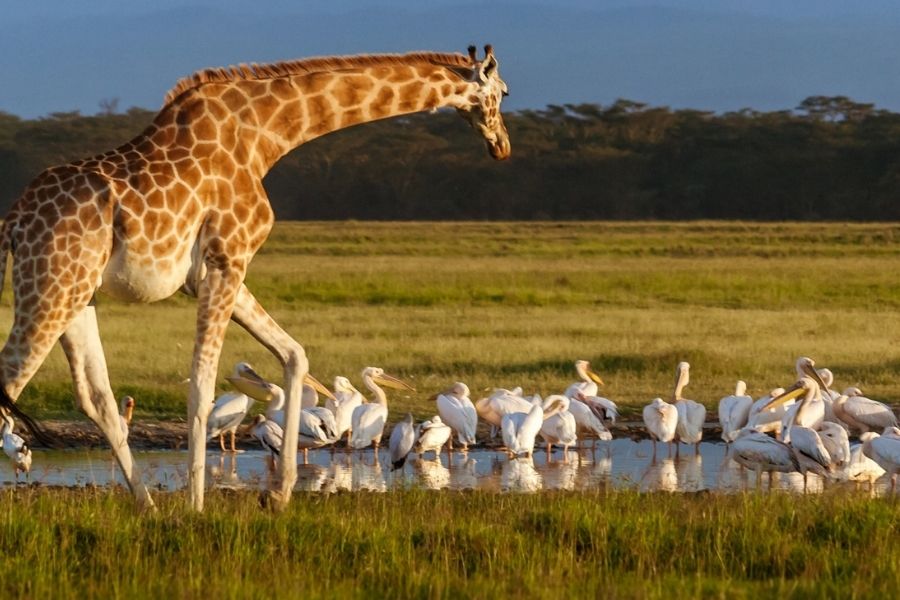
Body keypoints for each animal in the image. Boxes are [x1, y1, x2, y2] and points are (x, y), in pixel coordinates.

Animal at [0, 45, 510, 510]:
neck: (266, 136)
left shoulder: (217, 270)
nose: (502, 145)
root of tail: (14, 222)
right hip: (50, 288)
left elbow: (294, 355)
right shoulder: (228, 259)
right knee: (12, 381)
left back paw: (146, 504)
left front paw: (278, 494)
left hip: (79, 295)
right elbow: (202, 386)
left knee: (95, 397)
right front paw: (196, 506)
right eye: (504, 92)